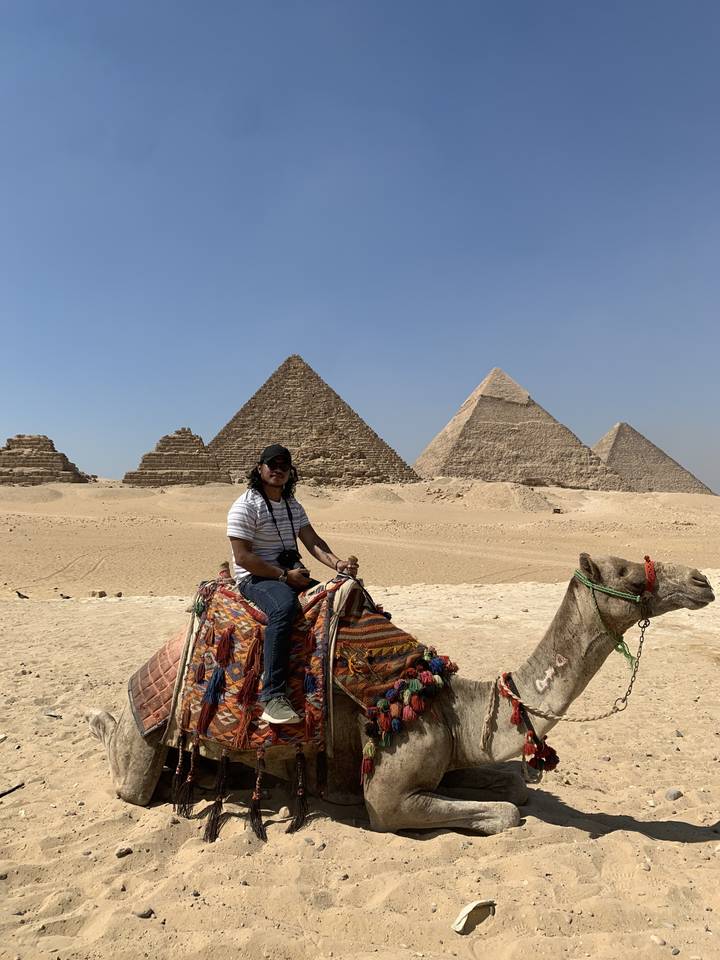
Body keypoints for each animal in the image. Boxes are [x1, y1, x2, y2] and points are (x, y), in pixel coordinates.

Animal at [87, 552, 714, 835]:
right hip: (145, 741)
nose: (702, 579)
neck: (454, 707)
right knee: (128, 781)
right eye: (627, 572)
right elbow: (508, 813)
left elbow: (513, 785)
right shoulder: (387, 797)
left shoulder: (454, 755)